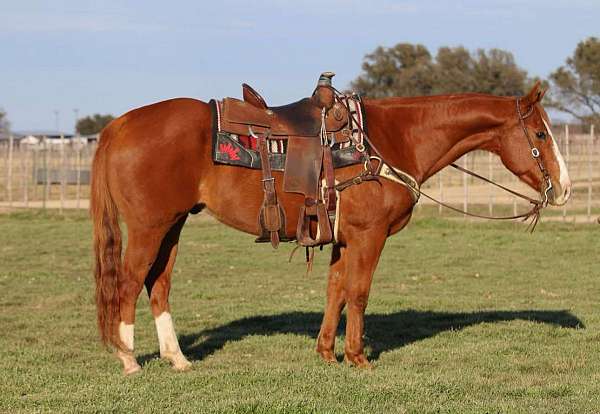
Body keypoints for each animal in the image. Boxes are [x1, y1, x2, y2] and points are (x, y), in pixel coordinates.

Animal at [91, 82, 568, 374]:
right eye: (541, 135)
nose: (563, 189)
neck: (390, 140)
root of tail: (119, 125)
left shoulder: (343, 237)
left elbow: (335, 290)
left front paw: (326, 352)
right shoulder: (369, 236)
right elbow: (358, 293)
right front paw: (357, 357)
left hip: (172, 226)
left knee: (158, 284)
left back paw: (177, 359)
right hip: (149, 228)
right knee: (128, 283)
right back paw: (130, 360)